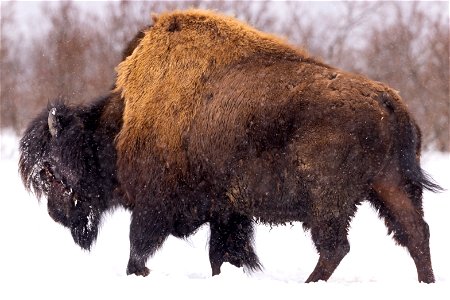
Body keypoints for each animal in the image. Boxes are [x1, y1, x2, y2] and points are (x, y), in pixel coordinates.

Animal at [19, 8, 442, 282]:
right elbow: (223, 254)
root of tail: (388, 99)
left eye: (50, 171)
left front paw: (138, 274)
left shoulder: (154, 207)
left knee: (337, 246)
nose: (56, 214)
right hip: (391, 185)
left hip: (330, 200)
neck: (122, 121)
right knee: (415, 233)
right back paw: (427, 283)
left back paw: (311, 284)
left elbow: (139, 247)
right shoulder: (226, 213)